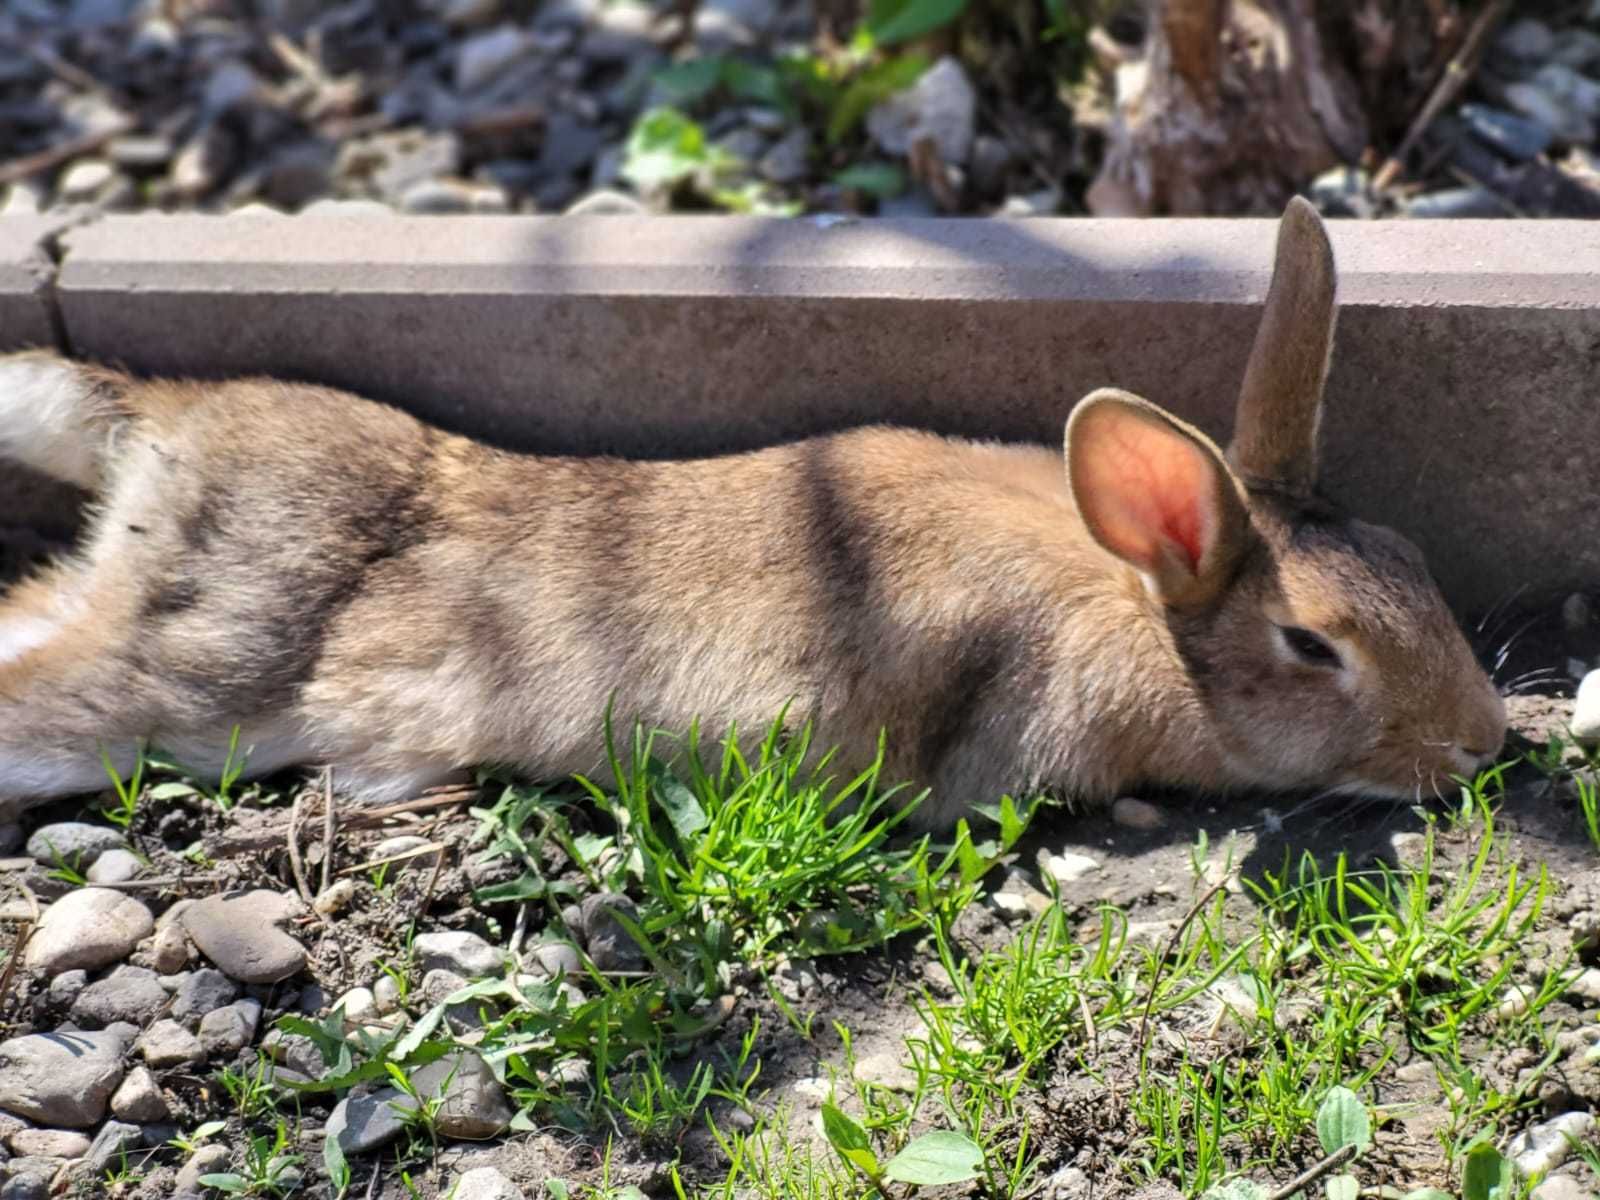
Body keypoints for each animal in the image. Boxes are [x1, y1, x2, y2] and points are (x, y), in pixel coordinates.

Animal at [0, 202, 1497, 832]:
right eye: (1314, 646)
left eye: (1418, 562)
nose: (1486, 745)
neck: (1129, 605)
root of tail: (166, 430)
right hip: (202, 667)